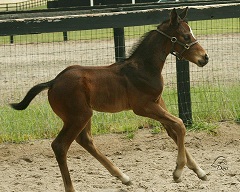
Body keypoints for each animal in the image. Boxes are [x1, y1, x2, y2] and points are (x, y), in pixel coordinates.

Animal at [11, 7, 209, 192]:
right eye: (185, 36)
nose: (205, 58)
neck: (144, 68)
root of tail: (53, 82)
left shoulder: (158, 103)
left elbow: (173, 130)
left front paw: (200, 171)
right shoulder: (143, 107)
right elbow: (180, 124)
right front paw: (178, 172)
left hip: (83, 115)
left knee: (85, 140)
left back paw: (123, 177)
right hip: (78, 116)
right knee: (60, 146)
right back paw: (74, 187)